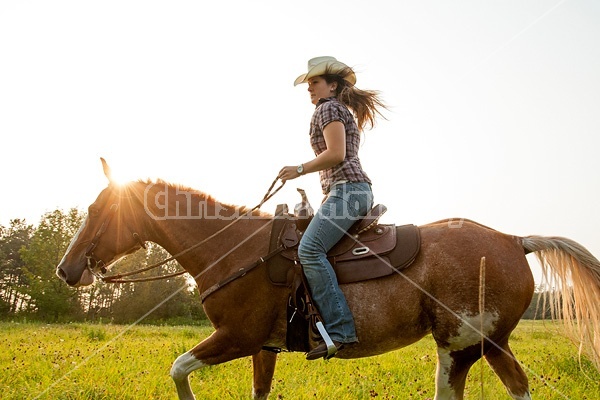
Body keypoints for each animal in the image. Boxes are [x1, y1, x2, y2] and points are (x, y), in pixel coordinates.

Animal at [57, 159, 600, 400]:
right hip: (470, 348)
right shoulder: (264, 346)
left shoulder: (237, 337)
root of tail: (514, 239)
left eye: (97, 211)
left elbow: (177, 369)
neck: (234, 249)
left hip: (469, 343)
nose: (67, 269)